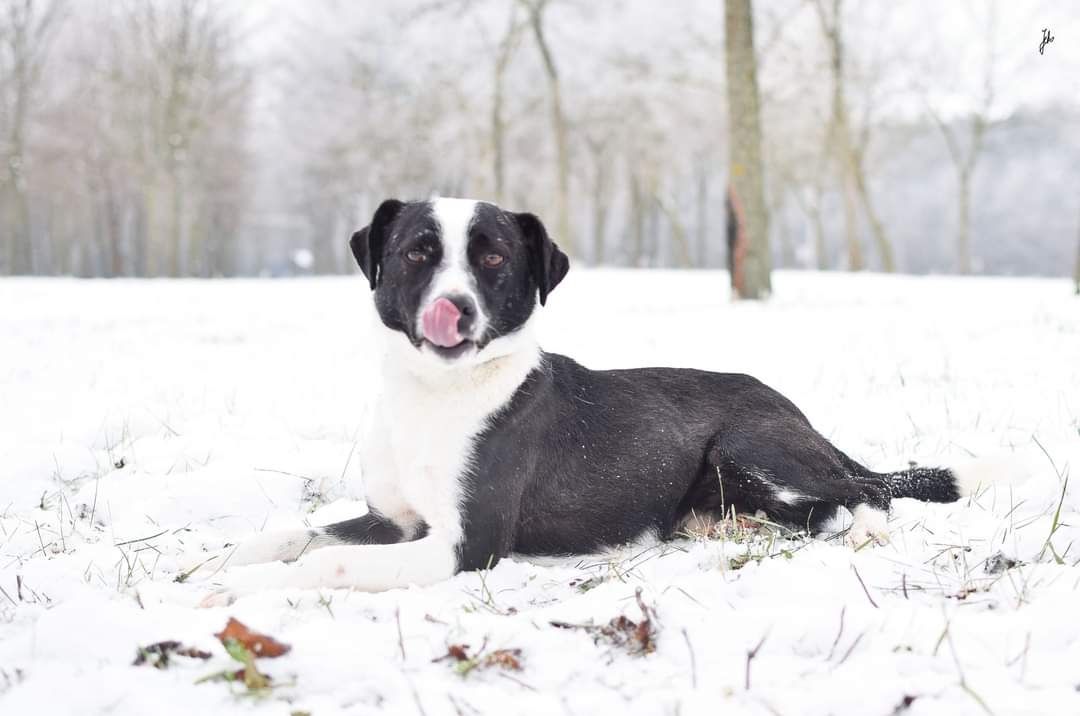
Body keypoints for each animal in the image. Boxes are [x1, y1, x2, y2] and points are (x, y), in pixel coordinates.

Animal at [198, 198, 989, 609]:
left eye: (493, 258)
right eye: (417, 252)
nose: (454, 308)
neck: (437, 396)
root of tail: (797, 413)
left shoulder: (464, 545)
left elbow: (325, 564)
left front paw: (248, 591)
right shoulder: (393, 522)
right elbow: (297, 535)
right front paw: (224, 565)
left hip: (750, 444)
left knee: (861, 498)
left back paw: (848, 526)